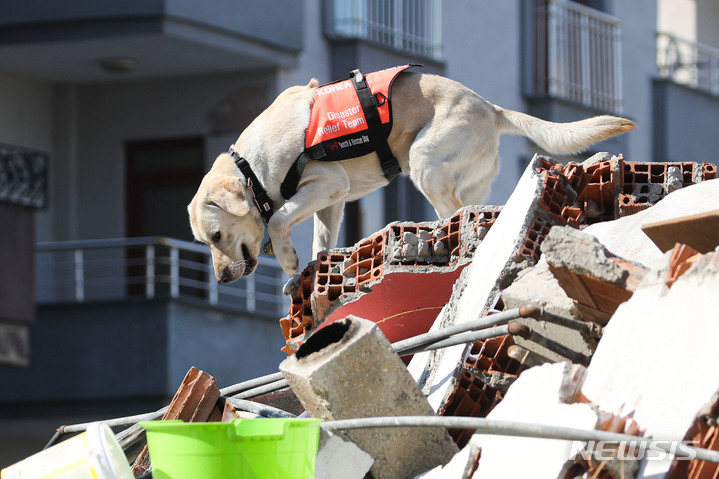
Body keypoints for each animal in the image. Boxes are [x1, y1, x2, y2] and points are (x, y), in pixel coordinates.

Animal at [187, 67, 636, 292]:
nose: (221, 278)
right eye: (206, 242)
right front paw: (305, 273)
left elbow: (280, 219)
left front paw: (287, 261)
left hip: (423, 159)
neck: (250, 168)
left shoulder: (327, 183)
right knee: (469, 207)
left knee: (454, 213)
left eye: (216, 236)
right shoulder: (332, 199)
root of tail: (491, 108)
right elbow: (320, 241)